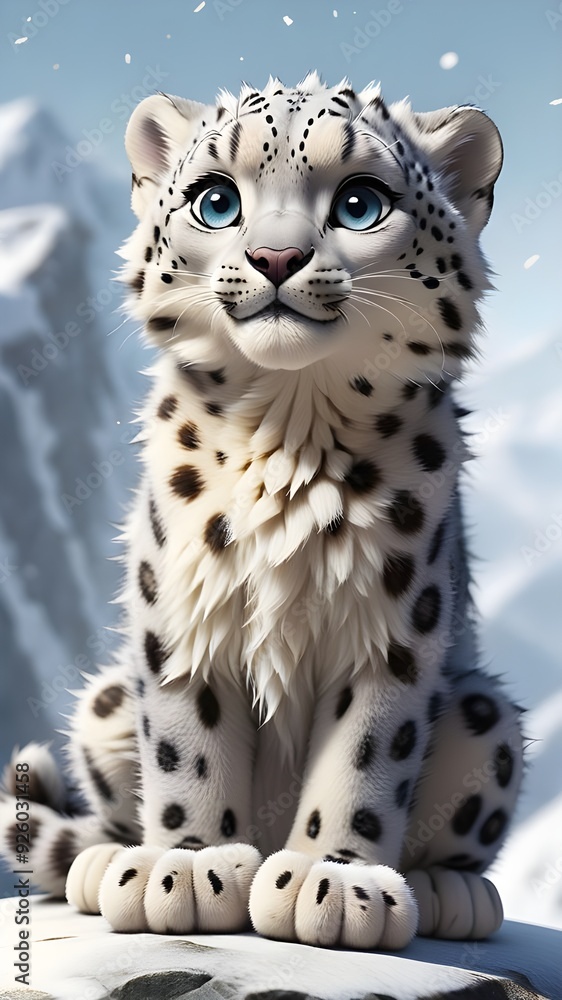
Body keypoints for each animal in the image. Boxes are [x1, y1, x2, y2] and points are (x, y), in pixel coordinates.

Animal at [0, 73, 524, 950]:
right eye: (216, 200)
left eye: (360, 202)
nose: (276, 258)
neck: (290, 428)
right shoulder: (179, 610)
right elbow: (185, 743)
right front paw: (186, 866)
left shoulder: (392, 629)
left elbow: (367, 753)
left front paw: (334, 879)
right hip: (104, 708)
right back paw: (105, 862)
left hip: (487, 720)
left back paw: (448, 892)